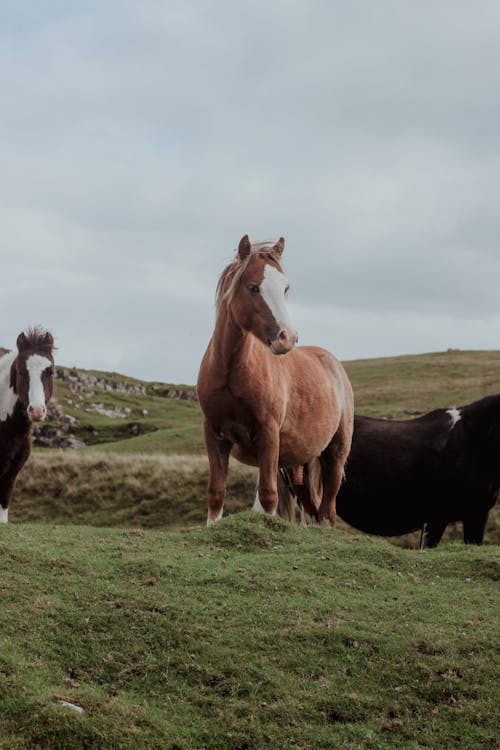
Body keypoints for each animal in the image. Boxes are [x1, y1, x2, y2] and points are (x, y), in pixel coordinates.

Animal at [197, 235, 354, 528]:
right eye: (253, 287)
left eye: (285, 288)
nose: (287, 338)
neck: (231, 372)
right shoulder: (214, 434)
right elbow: (216, 493)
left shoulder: (268, 434)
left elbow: (268, 496)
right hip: (297, 465)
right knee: (312, 510)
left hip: (335, 454)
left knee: (328, 510)